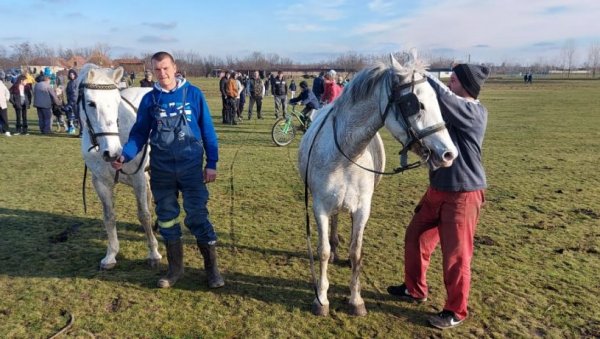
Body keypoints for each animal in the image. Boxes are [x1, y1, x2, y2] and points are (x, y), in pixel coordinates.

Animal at [78, 63, 162, 270]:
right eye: (91, 103)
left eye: (117, 102)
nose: (114, 152)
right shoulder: (101, 182)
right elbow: (109, 217)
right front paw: (111, 255)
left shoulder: (138, 177)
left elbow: (143, 214)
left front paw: (154, 253)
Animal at [298, 53, 458, 316]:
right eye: (416, 104)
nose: (448, 154)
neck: (344, 157)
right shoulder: (319, 207)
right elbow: (322, 252)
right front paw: (321, 299)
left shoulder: (362, 209)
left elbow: (356, 252)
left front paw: (356, 300)